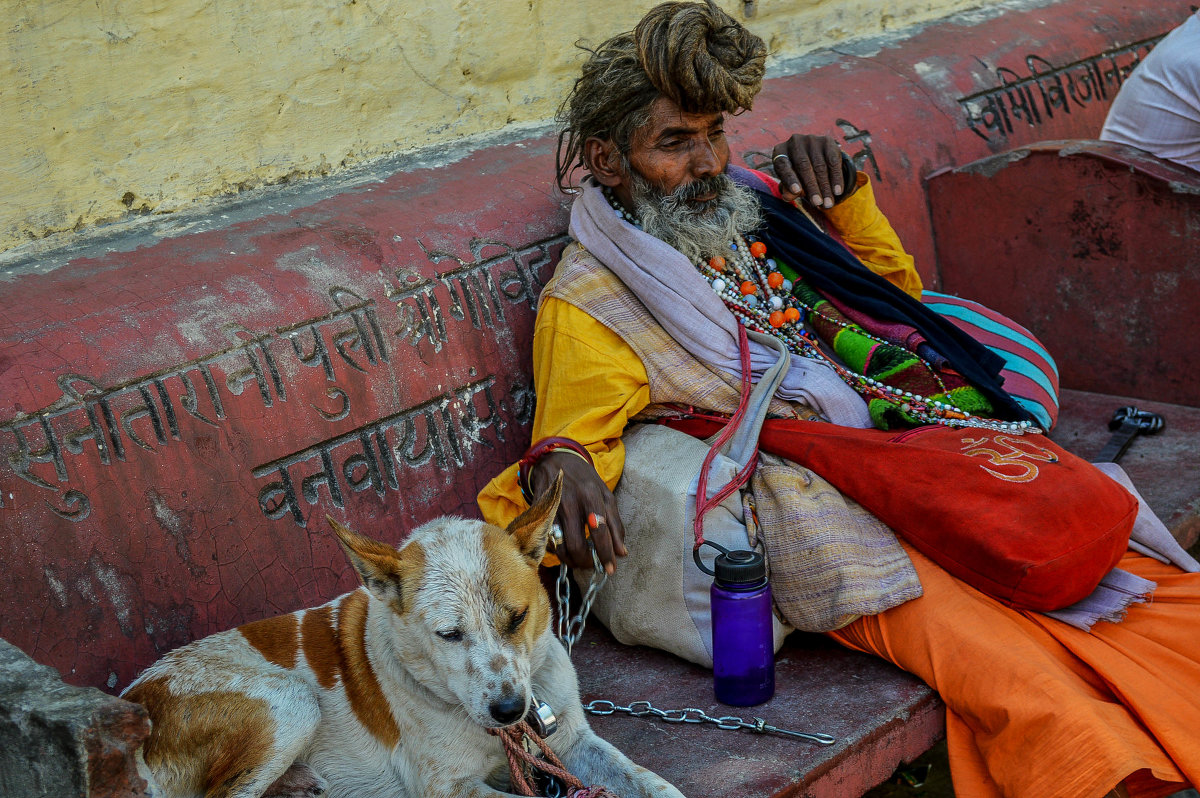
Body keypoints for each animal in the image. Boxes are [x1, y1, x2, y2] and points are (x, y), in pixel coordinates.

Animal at [124, 480, 686, 796]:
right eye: (450, 634)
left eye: (517, 618)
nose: (511, 711)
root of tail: (134, 698)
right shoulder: (446, 788)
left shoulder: (569, 740)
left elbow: (653, 783)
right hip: (290, 701)